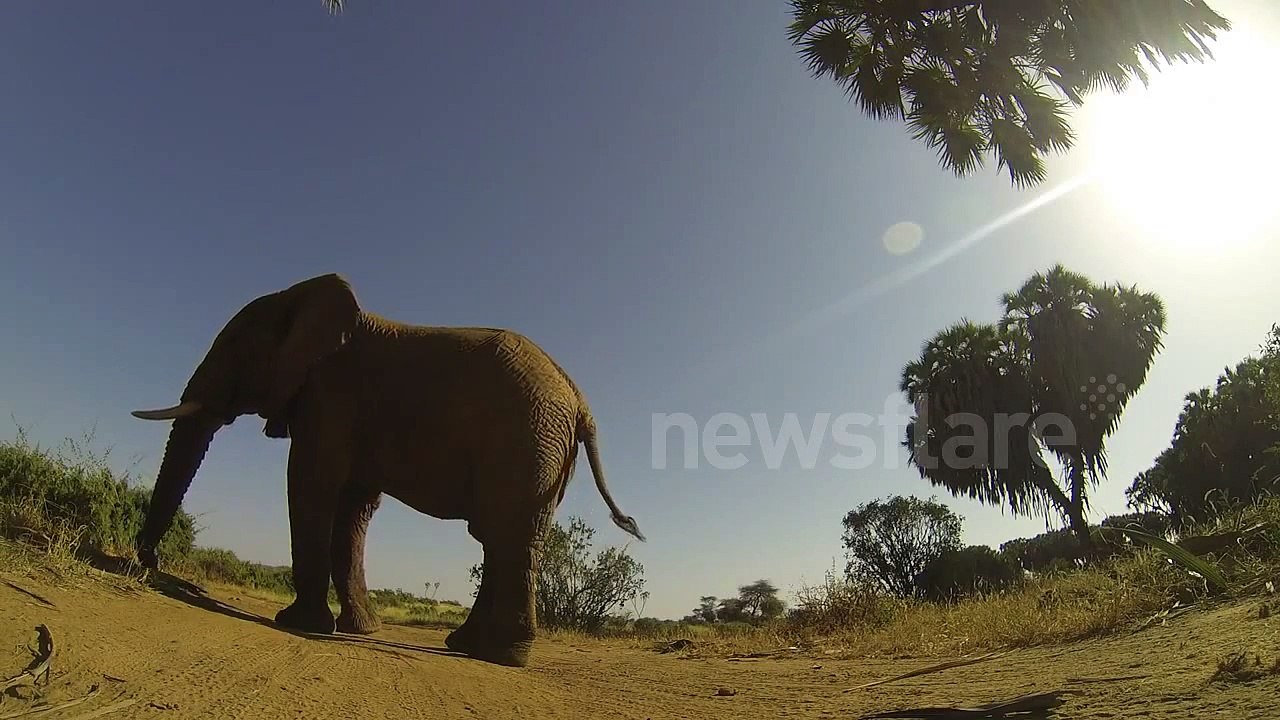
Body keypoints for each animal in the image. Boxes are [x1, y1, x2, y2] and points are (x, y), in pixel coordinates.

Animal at [130, 272, 644, 667]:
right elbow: (353, 509)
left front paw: (299, 625)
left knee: (509, 537)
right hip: (545, 450)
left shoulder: (332, 396)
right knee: (498, 537)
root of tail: (580, 400)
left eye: (235, 345)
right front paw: (360, 630)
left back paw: (504, 657)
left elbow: (311, 483)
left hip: (527, 439)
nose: (148, 564)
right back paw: (466, 646)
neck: (300, 299)